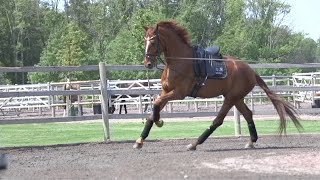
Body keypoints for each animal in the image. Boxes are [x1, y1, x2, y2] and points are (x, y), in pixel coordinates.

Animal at [132, 20, 302, 150]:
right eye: (144, 40)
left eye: (153, 41)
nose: (147, 63)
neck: (181, 62)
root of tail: (250, 70)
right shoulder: (165, 91)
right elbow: (154, 108)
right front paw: (140, 140)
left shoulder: (179, 93)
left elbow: (156, 104)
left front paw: (159, 121)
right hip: (236, 98)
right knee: (248, 114)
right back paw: (251, 142)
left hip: (231, 98)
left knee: (218, 120)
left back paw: (195, 143)